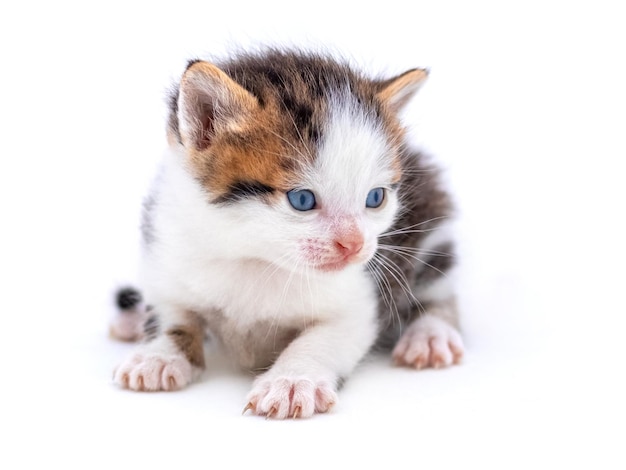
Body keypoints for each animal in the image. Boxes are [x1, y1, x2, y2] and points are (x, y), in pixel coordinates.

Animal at [111, 49, 464, 418]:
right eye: (302, 199)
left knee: (439, 289)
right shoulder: (167, 253)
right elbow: (171, 314)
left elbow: (322, 339)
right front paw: (157, 356)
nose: (354, 245)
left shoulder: (360, 298)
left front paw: (293, 380)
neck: (254, 256)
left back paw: (430, 334)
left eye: (375, 198)